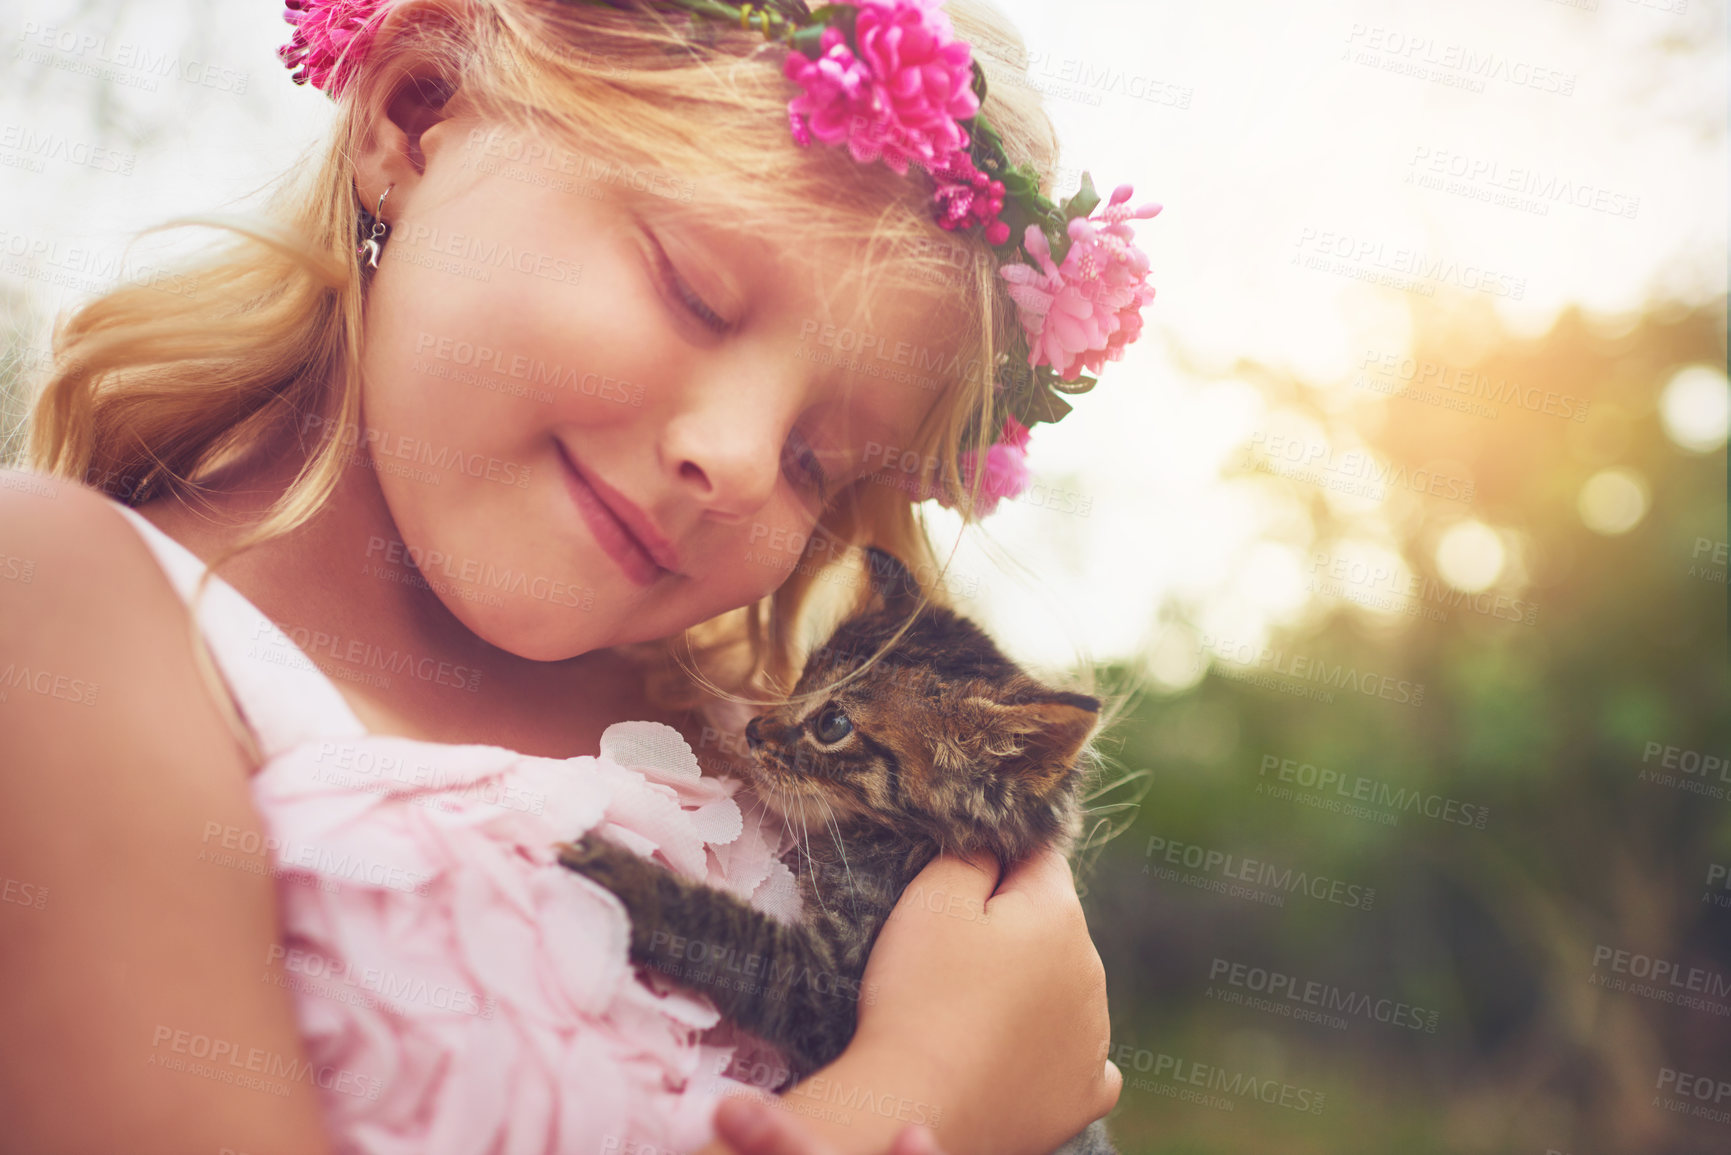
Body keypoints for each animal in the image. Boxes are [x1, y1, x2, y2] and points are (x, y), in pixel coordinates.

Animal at [560, 547, 1114, 1149]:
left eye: (833, 724)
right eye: (803, 677)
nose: (753, 729)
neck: (886, 842)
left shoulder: (830, 986)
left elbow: (730, 933)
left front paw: (623, 876)